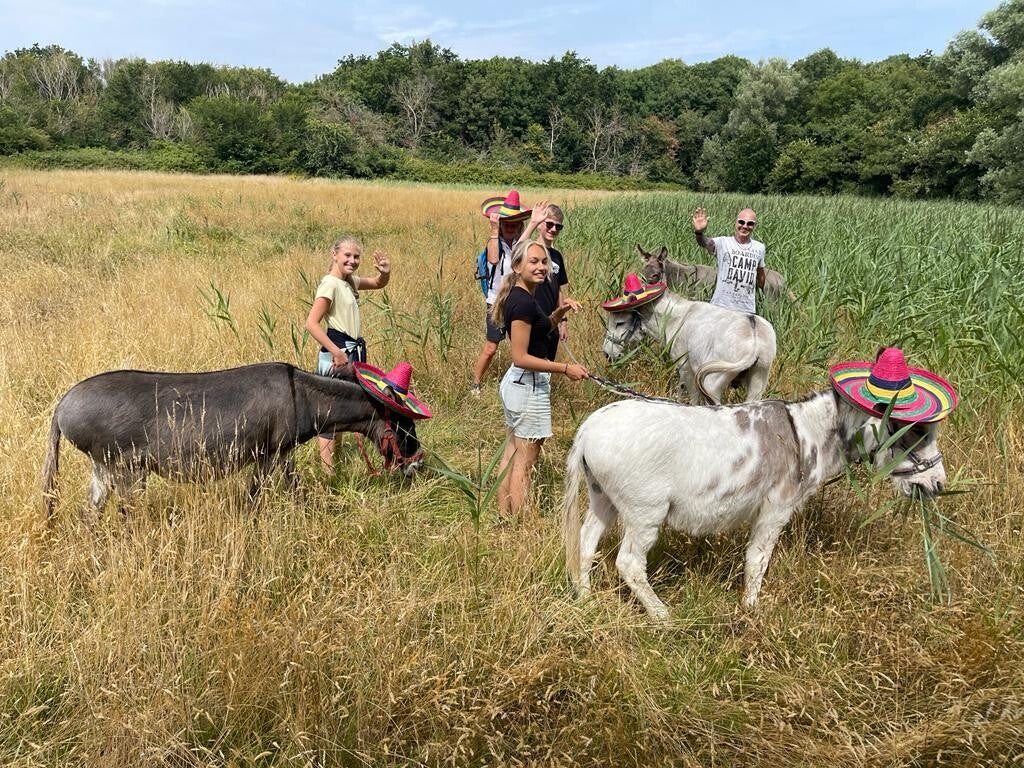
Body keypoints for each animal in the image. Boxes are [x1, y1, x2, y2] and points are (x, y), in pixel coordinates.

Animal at [41, 362, 423, 519]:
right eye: (402, 422)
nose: (418, 465)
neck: (304, 396)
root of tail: (61, 405)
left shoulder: (282, 454)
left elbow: (294, 488)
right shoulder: (269, 454)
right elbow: (255, 497)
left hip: (102, 469)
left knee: (91, 515)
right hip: (127, 471)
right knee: (125, 514)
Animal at [563, 390, 948, 621]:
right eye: (912, 433)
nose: (939, 485)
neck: (805, 434)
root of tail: (589, 427)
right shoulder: (776, 509)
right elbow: (757, 560)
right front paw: (751, 609)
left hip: (603, 498)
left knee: (585, 541)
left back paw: (585, 599)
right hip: (645, 512)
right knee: (629, 563)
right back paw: (663, 617)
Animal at [602, 288, 777, 405]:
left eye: (620, 322)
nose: (606, 353)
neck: (678, 318)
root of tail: (752, 331)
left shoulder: (685, 368)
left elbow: (691, 398)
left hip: (712, 383)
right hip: (759, 378)